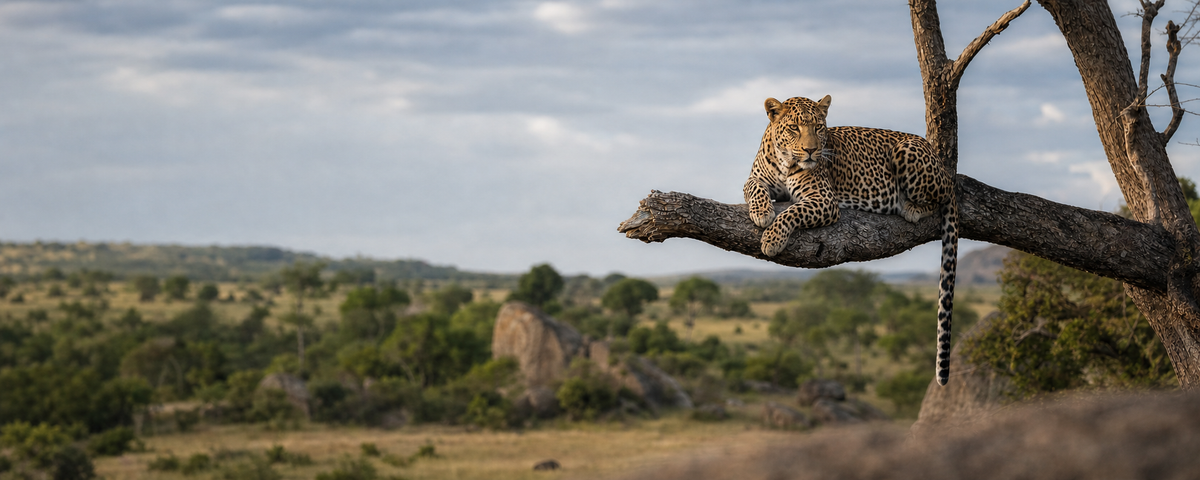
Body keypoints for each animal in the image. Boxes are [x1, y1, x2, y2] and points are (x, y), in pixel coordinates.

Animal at [743, 95, 958, 385]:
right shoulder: (756, 178)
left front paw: (772, 239)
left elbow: (792, 211)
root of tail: (937, 157)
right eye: (794, 128)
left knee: (939, 198)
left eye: (819, 127)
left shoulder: (824, 200)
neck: (785, 163)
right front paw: (761, 211)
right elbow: (754, 187)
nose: (811, 151)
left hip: (908, 152)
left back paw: (912, 207)